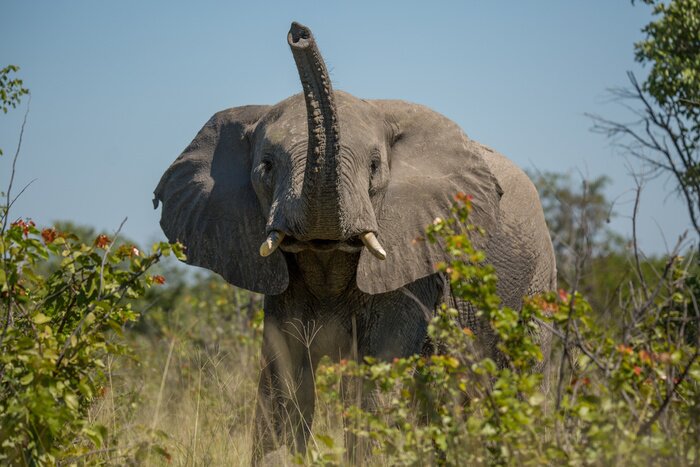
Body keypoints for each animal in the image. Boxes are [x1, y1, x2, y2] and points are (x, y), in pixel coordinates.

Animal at [153, 22, 555, 463]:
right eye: (266, 167)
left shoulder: (410, 261)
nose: (298, 33)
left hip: (537, 282)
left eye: (375, 167)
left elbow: (376, 380)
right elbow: (284, 382)